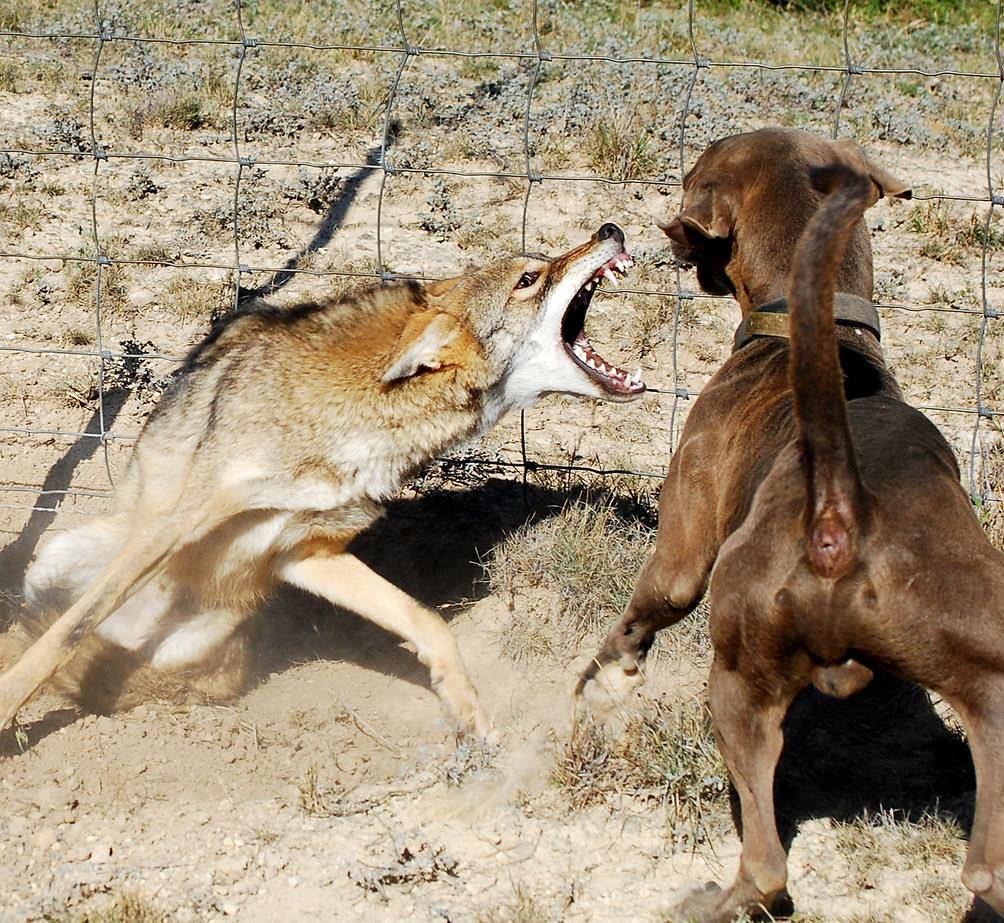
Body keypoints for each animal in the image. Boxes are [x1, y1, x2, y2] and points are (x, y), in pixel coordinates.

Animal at [0, 223, 642, 743]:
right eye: (529, 277)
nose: (611, 229)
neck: (360, 419)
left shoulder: (306, 551)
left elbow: (426, 622)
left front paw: (469, 714)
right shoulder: (183, 520)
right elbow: (64, 636)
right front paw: (7, 706)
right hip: (64, 553)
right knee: (54, 628)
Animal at [574, 126, 1003, 919]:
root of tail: (844, 506)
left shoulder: (683, 548)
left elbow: (641, 614)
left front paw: (603, 676)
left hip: (737, 678)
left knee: (769, 864)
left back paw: (708, 900)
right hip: (989, 690)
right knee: (986, 870)